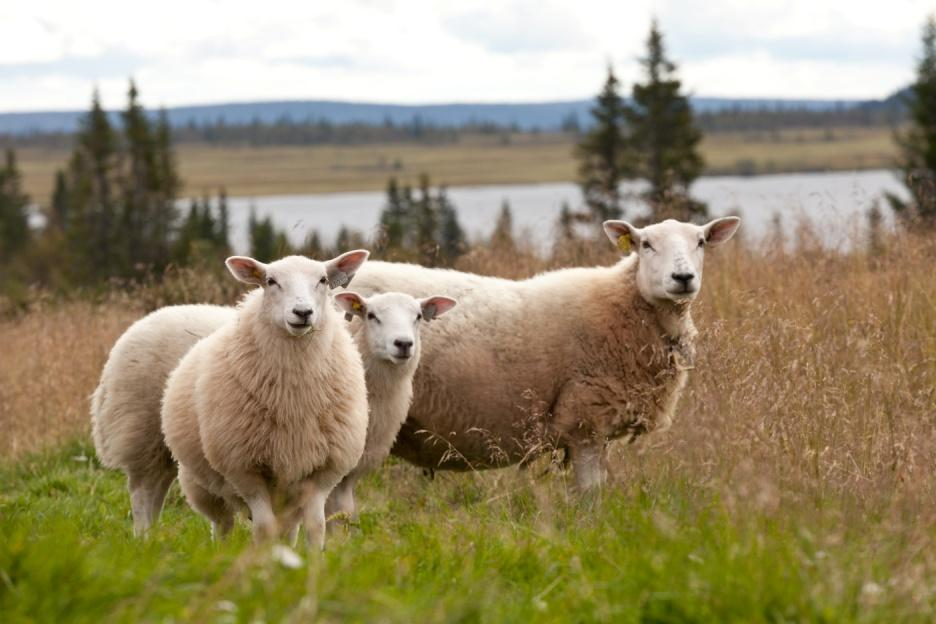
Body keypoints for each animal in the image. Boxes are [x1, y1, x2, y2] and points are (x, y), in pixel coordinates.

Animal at [161, 251, 370, 548]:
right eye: (270, 281)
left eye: (323, 280)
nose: (302, 313)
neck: (294, 396)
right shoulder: (245, 469)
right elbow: (264, 528)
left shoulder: (322, 472)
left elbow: (316, 527)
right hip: (203, 486)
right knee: (222, 524)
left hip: (289, 495)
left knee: (288, 529)